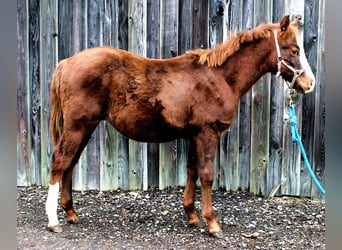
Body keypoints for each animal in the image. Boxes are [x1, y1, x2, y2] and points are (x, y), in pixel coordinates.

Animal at [45, 15, 316, 236]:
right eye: (294, 50)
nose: (310, 83)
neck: (220, 78)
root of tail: (66, 62)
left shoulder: (195, 134)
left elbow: (192, 170)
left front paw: (192, 216)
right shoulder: (208, 132)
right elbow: (206, 174)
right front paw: (212, 223)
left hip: (85, 126)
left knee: (70, 164)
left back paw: (71, 213)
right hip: (78, 126)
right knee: (60, 161)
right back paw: (53, 220)